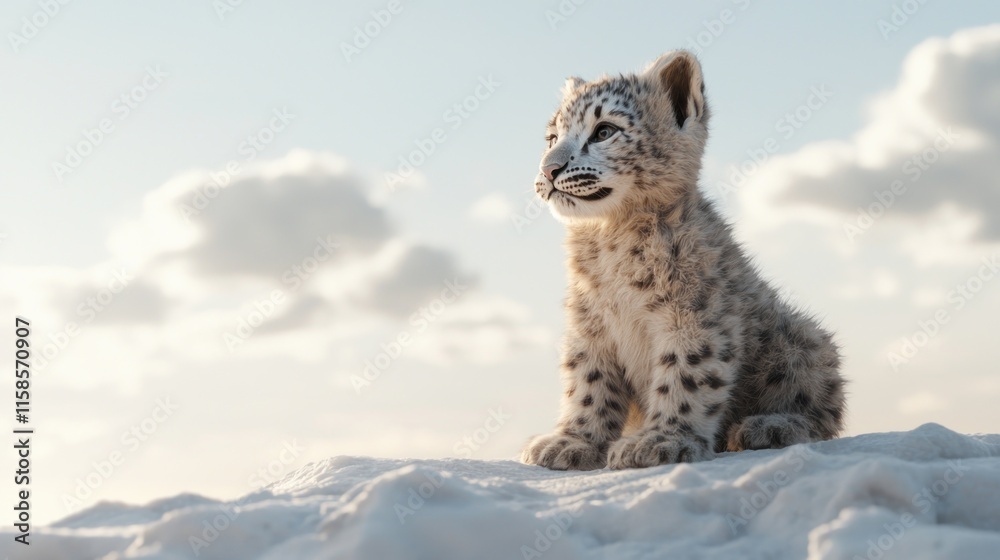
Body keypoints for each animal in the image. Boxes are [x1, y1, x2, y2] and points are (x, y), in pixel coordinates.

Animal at [520, 50, 847, 470]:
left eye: (604, 131)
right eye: (551, 138)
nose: (548, 169)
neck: (610, 237)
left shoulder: (694, 314)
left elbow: (686, 371)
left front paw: (661, 441)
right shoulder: (589, 323)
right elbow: (587, 381)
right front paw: (572, 441)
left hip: (802, 342)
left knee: (821, 410)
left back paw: (768, 426)